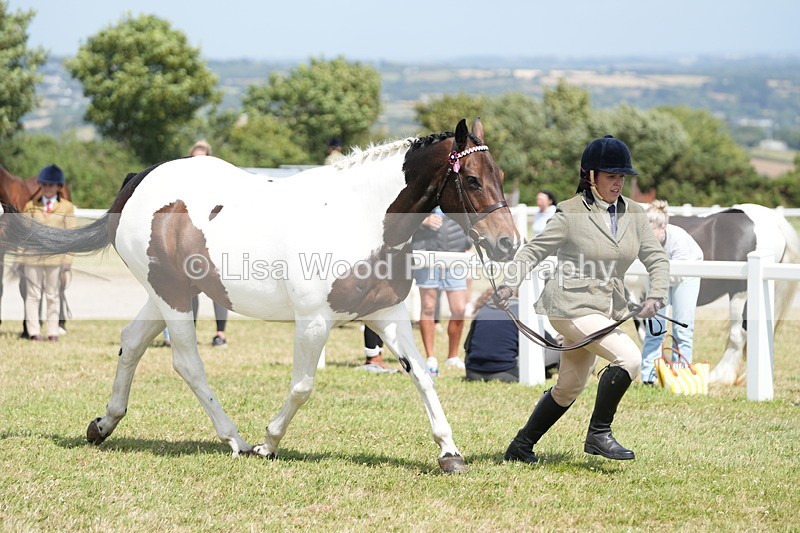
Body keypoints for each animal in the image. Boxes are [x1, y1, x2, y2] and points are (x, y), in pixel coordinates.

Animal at [0, 119, 520, 472]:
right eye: (472, 179)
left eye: (498, 173)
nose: (507, 243)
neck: (360, 217)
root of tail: (138, 182)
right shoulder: (315, 320)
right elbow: (303, 386)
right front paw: (269, 443)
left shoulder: (386, 313)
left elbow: (423, 379)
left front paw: (450, 453)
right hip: (173, 296)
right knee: (186, 362)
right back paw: (235, 440)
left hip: (167, 292)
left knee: (131, 342)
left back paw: (104, 424)